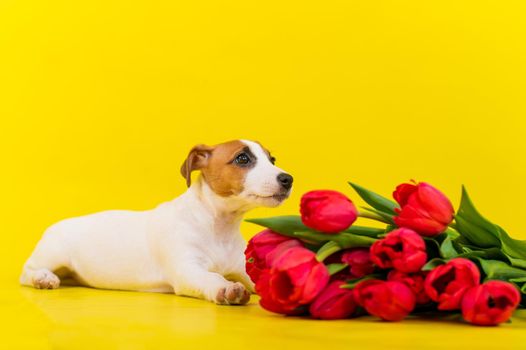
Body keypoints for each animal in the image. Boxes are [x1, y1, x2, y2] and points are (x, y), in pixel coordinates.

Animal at [19, 139, 292, 304]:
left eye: (272, 160)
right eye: (242, 159)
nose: (288, 179)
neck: (218, 226)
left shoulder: (244, 269)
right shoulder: (187, 270)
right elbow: (212, 278)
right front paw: (226, 288)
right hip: (52, 253)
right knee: (27, 271)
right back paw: (42, 278)